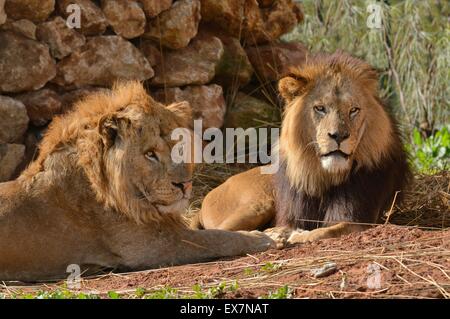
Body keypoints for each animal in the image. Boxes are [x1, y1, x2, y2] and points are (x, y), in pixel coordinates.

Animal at [0, 81, 288, 282]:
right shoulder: (157, 247)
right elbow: (220, 238)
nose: (185, 185)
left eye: (178, 147)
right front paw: (267, 236)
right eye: (150, 154)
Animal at [193, 52, 412, 245]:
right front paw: (280, 233)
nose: (339, 136)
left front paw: (296, 235)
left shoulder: (358, 219)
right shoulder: (292, 214)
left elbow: (326, 230)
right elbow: (295, 227)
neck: (323, 176)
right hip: (260, 203)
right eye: (320, 108)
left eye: (354, 110)